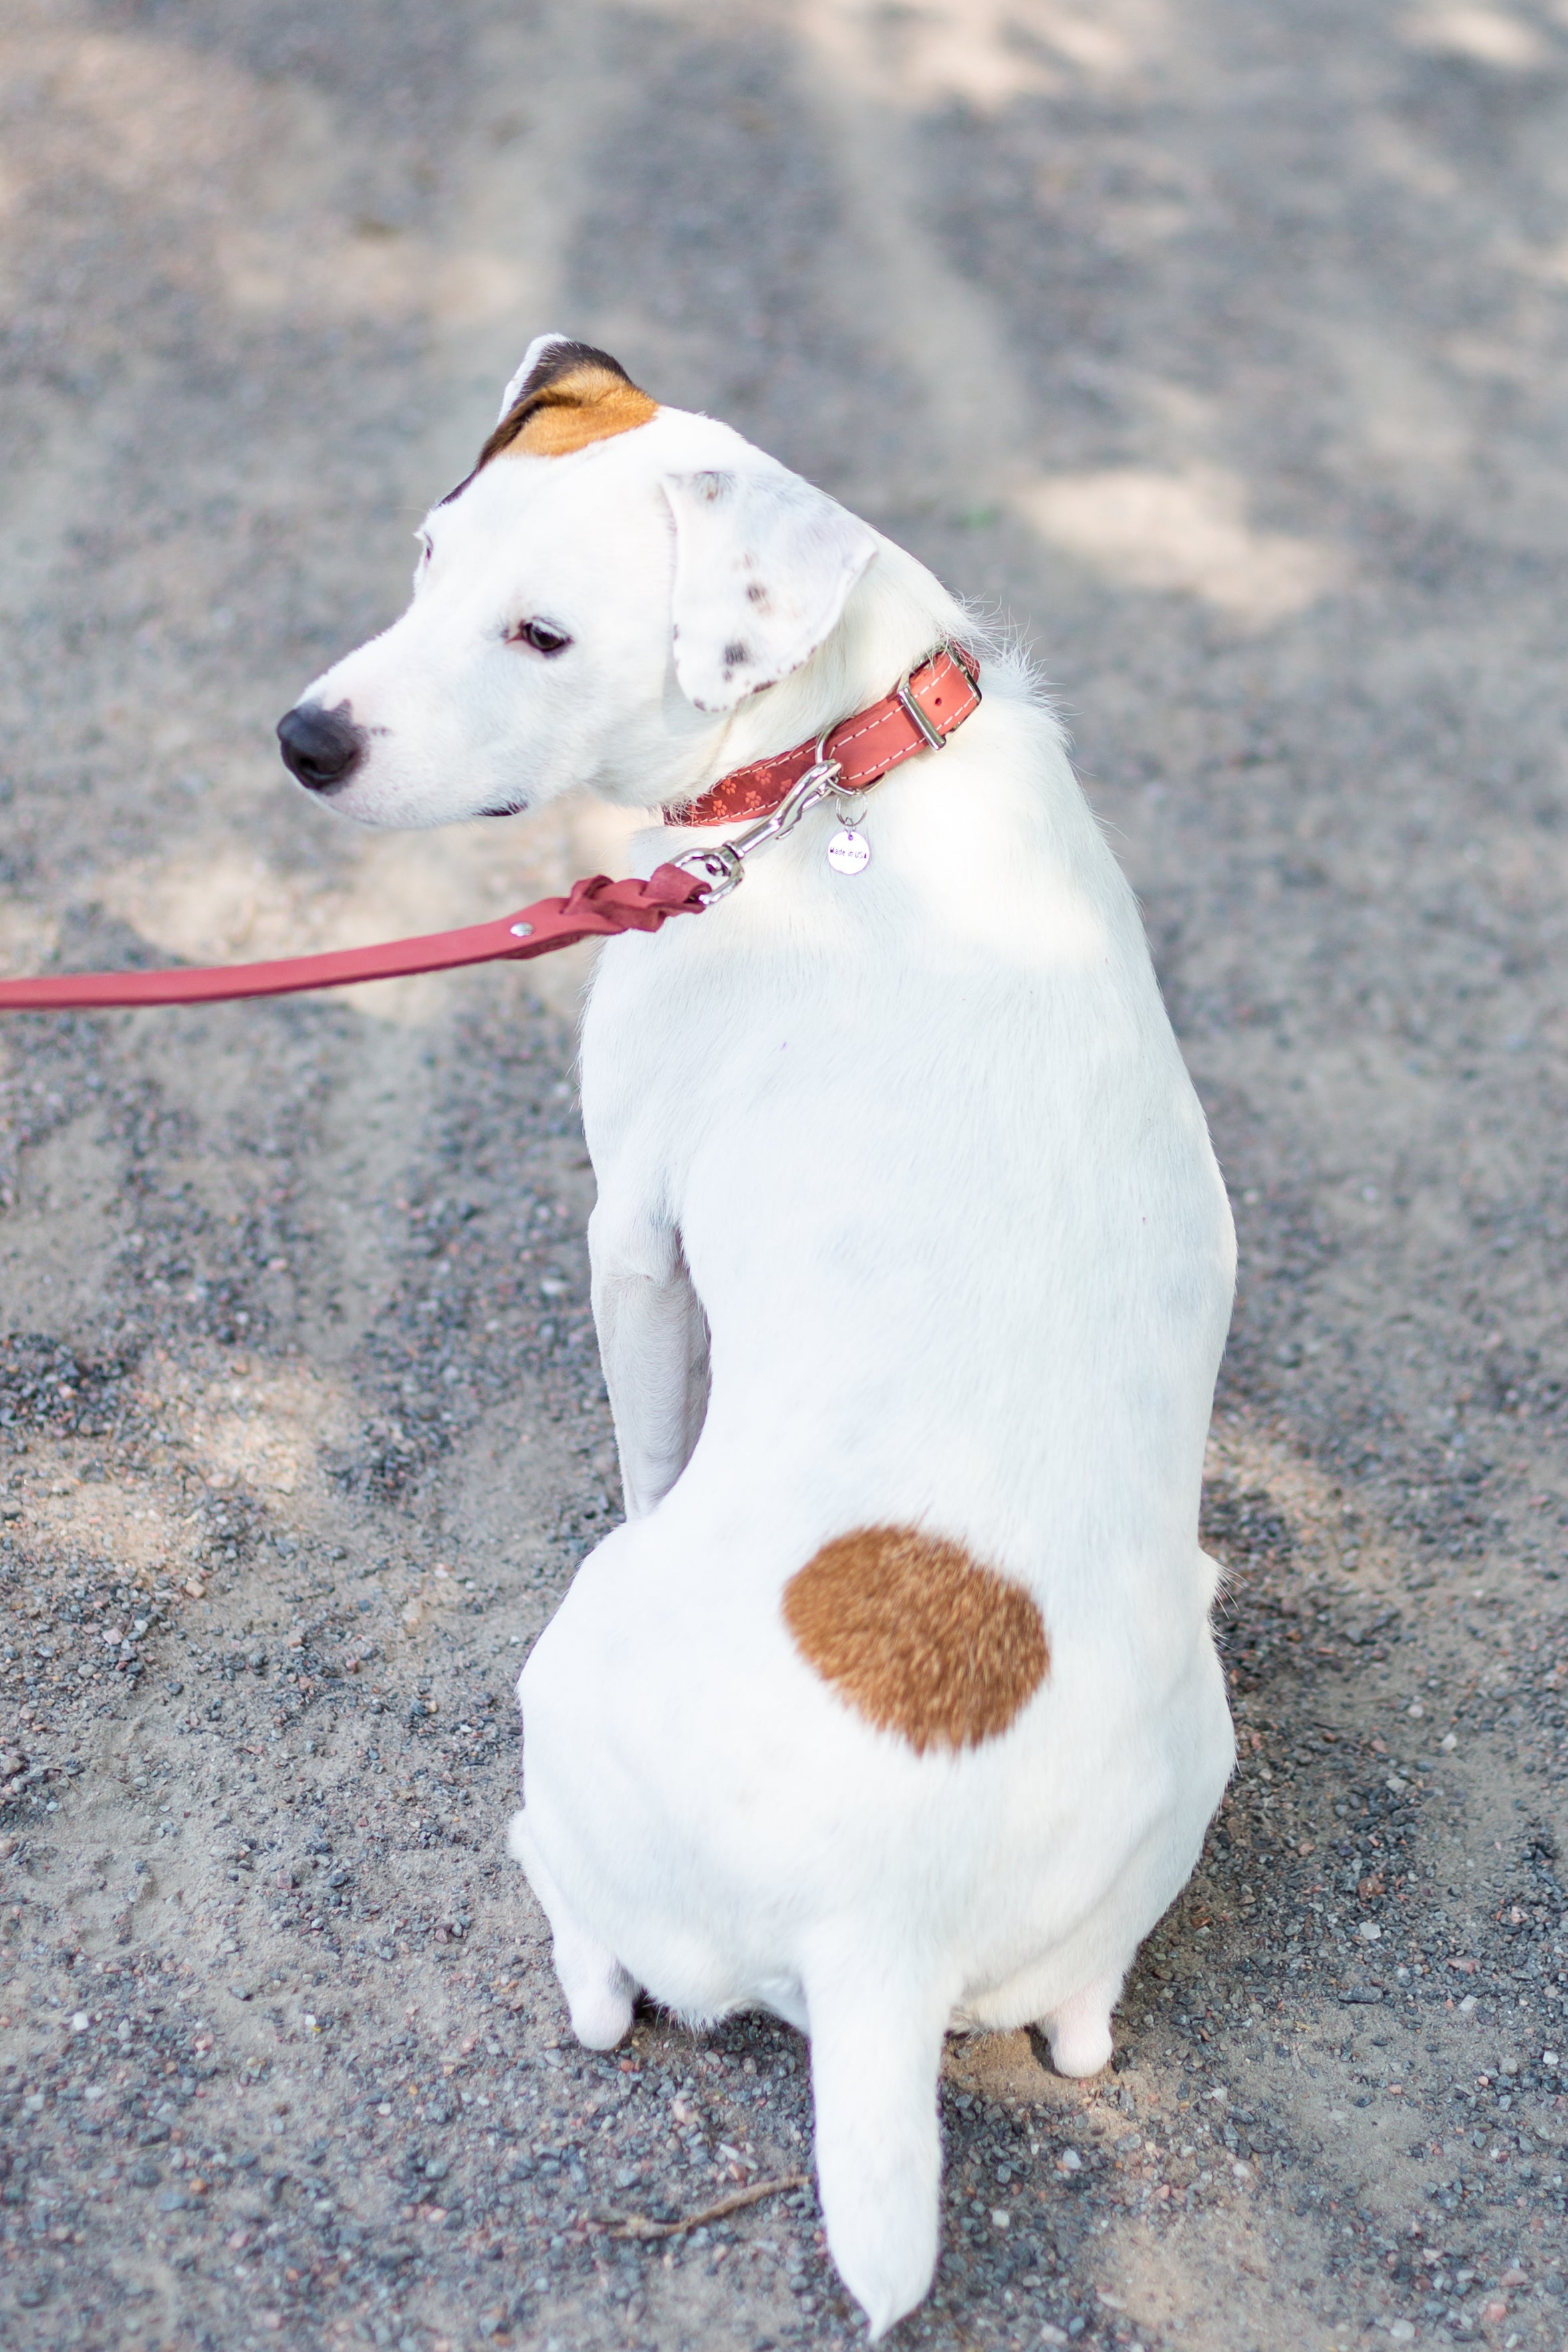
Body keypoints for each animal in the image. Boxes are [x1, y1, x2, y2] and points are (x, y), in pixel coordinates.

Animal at [282, 336, 1241, 2333]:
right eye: (426, 557)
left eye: (543, 635)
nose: (303, 740)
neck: (841, 759)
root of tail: (878, 1933)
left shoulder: (632, 1233)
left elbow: (648, 1430)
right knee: (1085, 2019)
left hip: (573, 1679)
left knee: (593, 1971)